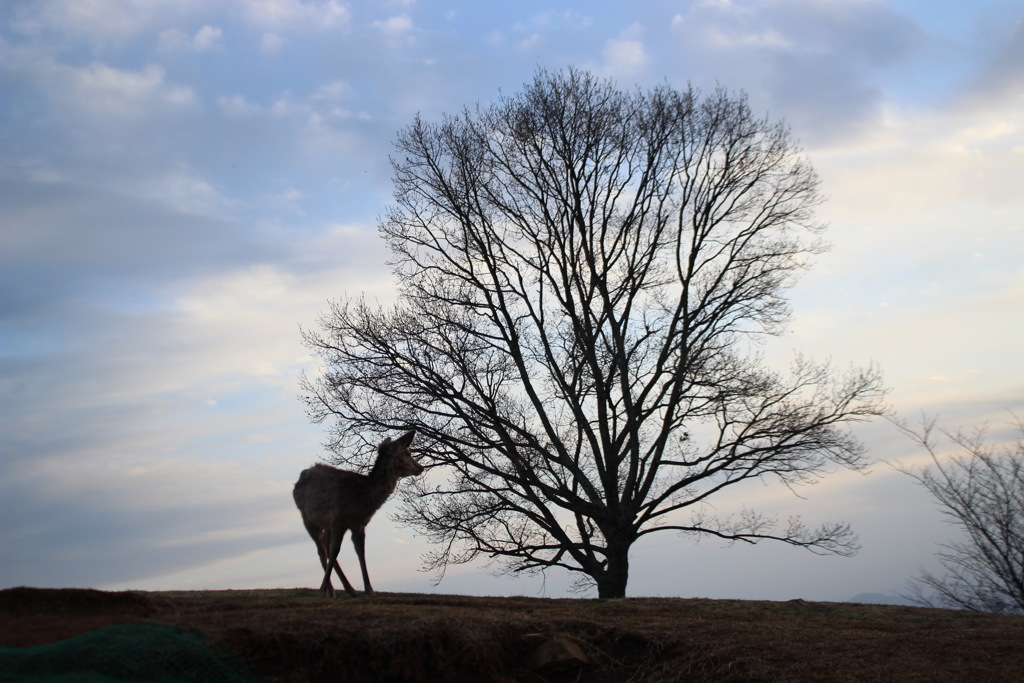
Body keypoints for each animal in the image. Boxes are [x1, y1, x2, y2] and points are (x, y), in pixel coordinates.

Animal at [292, 432, 423, 598]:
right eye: (406, 453)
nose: (421, 467)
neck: (362, 500)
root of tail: (301, 476)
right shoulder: (338, 520)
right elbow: (335, 550)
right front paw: (322, 590)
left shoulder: (359, 524)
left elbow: (361, 552)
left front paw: (370, 590)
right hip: (307, 518)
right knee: (321, 550)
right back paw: (328, 590)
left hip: (326, 524)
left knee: (325, 546)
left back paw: (348, 589)